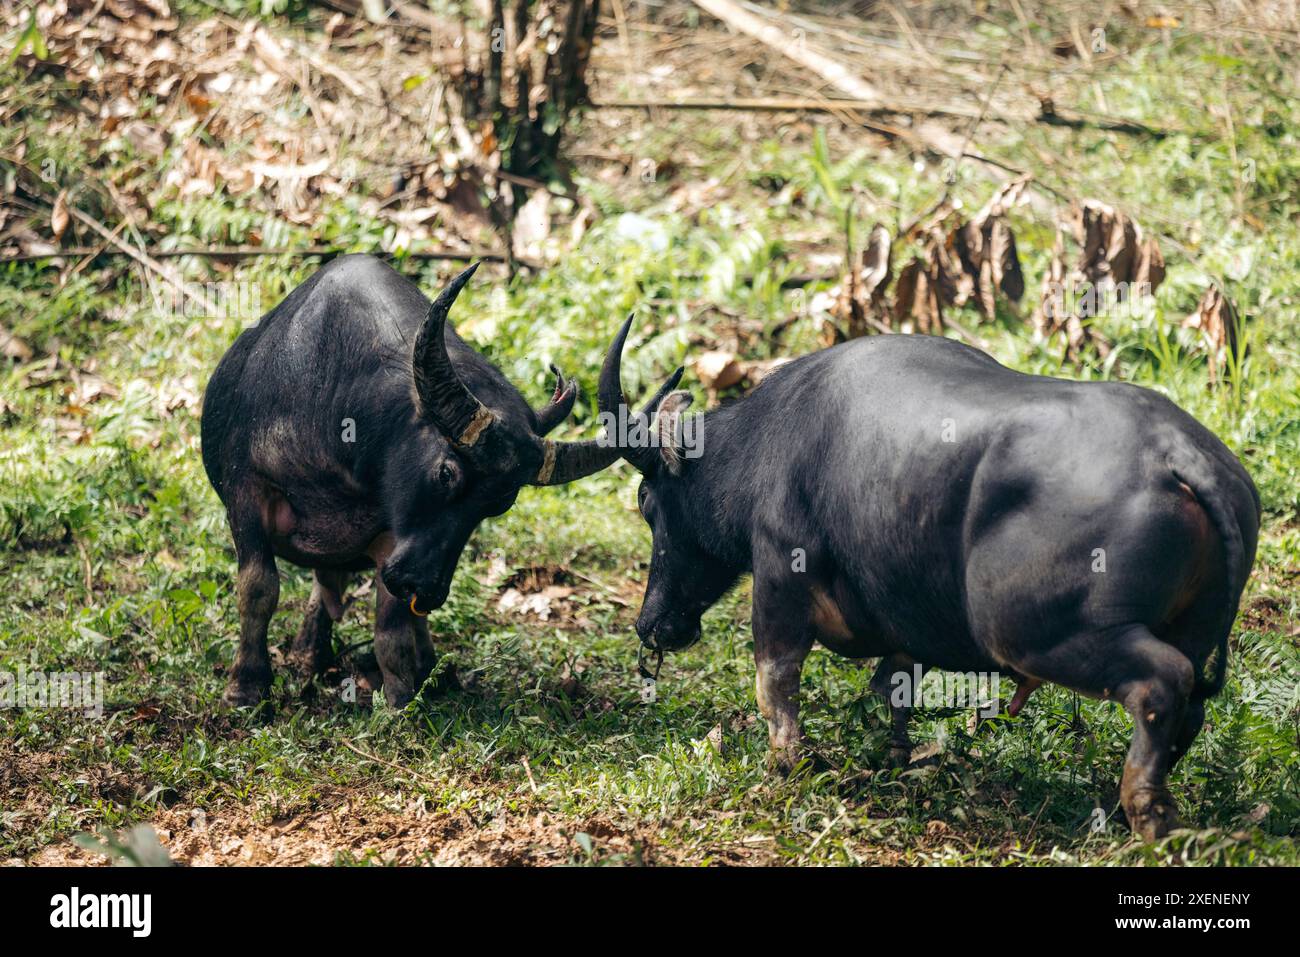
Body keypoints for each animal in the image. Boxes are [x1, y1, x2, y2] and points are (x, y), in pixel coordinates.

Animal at [202, 257, 670, 707]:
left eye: (499, 504)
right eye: (447, 473)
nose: (424, 588)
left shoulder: (391, 536)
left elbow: (392, 622)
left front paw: (401, 697)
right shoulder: (246, 492)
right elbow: (259, 588)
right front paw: (245, 687)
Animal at [603, 319, 1263, 837]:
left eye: (646, 502)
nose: (653, 624)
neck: (771, 440)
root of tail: (1177, 455)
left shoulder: (779, 573)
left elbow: (776, 682)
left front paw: (786, 767)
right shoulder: (904, 621)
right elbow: (893, 690)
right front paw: (893, 762)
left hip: (1034, 630)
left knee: (1162, 684)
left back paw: (1145, 815)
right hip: (1189, 630)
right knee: (1189, 708)